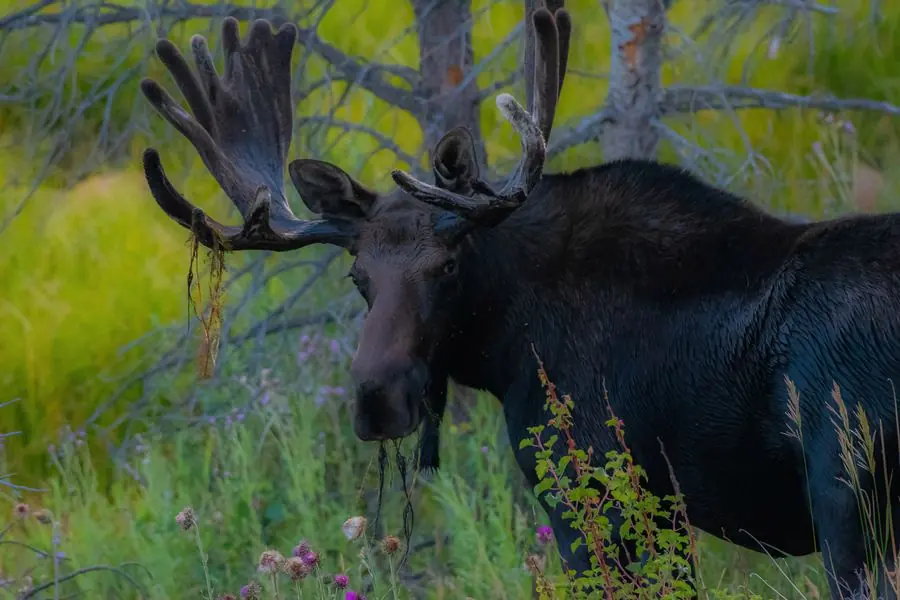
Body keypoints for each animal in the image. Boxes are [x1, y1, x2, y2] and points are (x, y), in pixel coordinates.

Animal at [138, 6, 900, 599]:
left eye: (447, 265)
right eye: (359, 277)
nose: (377, 399)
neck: (507, 349)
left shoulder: (592, 492)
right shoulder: (664, 511)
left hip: (853, 502)